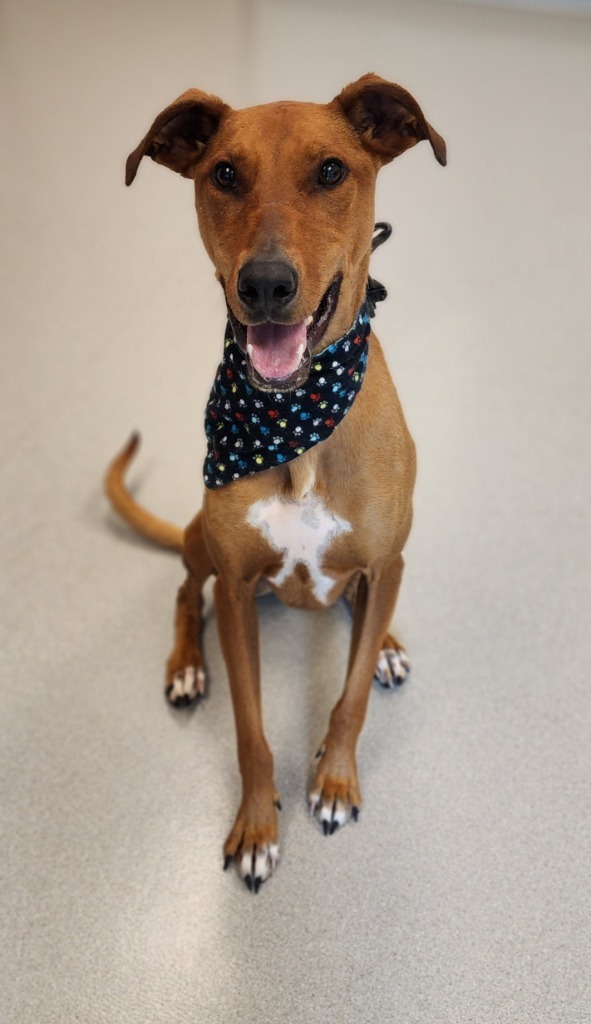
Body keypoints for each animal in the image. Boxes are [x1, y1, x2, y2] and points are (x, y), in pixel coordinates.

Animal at [107, 72, 446, 892]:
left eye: (331, 172)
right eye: (224, 174)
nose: (263, 284)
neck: (296, 421)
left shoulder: (385, 559)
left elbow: (348, 700)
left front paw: (335, 781)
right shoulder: (235, 590)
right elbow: (250, 730)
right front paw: (258, 826)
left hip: (383, 568)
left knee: (368, 604)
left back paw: (383, 643)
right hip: (200, 540)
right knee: (181, 593)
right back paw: (186, 667)